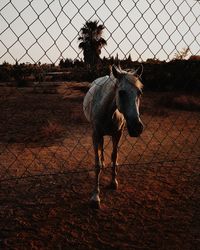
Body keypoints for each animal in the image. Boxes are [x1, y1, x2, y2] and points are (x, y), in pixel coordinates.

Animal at [83, 65, 144, 209]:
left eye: (139, 92)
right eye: (121, 92)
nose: (137, 128)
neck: (107, 111)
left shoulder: (117, 134)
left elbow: (114, 156)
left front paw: (113, 181)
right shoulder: (95, 134)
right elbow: (97, 164)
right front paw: (95, 196)